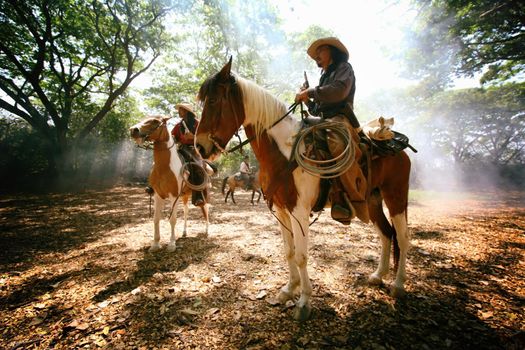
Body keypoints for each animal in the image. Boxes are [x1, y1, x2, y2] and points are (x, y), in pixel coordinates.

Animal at [129, 115, 211, 252]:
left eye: (155, 121)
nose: (133, 130)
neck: (164, 167)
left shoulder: (173, 196)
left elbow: (172, 219)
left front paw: (172, 244)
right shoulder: (158, 195)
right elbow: (156, 219)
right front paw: (155, 244)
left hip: (202, 193)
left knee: (205, 208)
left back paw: (207, 230)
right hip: (185, 195)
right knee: (186, 210)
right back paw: (184, 232)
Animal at [194, 58, 412, 322]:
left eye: (214, 100)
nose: (200, 147)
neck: (284, 152)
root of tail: (394, 145)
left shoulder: (299, 211)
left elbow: (301, 255)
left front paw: (304, 302)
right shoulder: (280, 210)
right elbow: (289, 252)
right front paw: (289, 290)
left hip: (396, 197)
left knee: (403, 237)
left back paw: (398, 285)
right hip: (372, 200)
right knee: (386, 234)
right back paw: (378, 276)